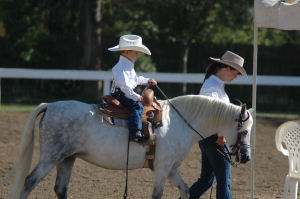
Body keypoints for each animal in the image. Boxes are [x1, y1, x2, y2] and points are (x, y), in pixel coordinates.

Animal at [9, 95, 253, 199]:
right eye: (244, 130)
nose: (245, 156)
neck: (178, 121)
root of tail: (50, 105)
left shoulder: (171, 169)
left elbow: (185, 190)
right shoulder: (162, 168)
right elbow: (157, 195)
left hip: (67, 159)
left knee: (60, 189)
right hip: (50, 157)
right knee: (29, 181)